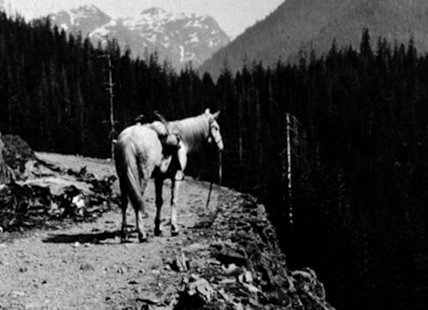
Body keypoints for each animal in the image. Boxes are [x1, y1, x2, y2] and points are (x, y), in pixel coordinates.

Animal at [113, 109, 224, 242]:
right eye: (216, 128)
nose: (221, 147)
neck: (182, 139)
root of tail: (128, 139)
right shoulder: (176, 176)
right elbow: (173, 200)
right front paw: (174, 228)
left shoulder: (159, 178)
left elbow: (159, 201)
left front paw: (158, 229)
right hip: (141, 177)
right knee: (137, 200)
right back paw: (142, 234)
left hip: (123, 178)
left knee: (124, 202)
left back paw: (124, 233)